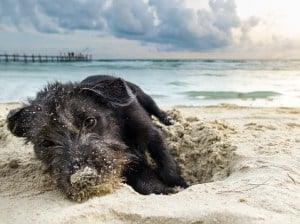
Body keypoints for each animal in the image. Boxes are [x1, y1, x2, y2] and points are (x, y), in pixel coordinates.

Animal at [6, 75, 188, 200]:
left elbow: (168, 167)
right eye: (45, 142)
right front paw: (162, 190)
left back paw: (169, 120)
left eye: (90, 121)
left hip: (144, 96)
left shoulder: (151, 135)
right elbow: (145, 181)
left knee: (156, 109)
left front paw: (180, 185)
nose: (83, 178)